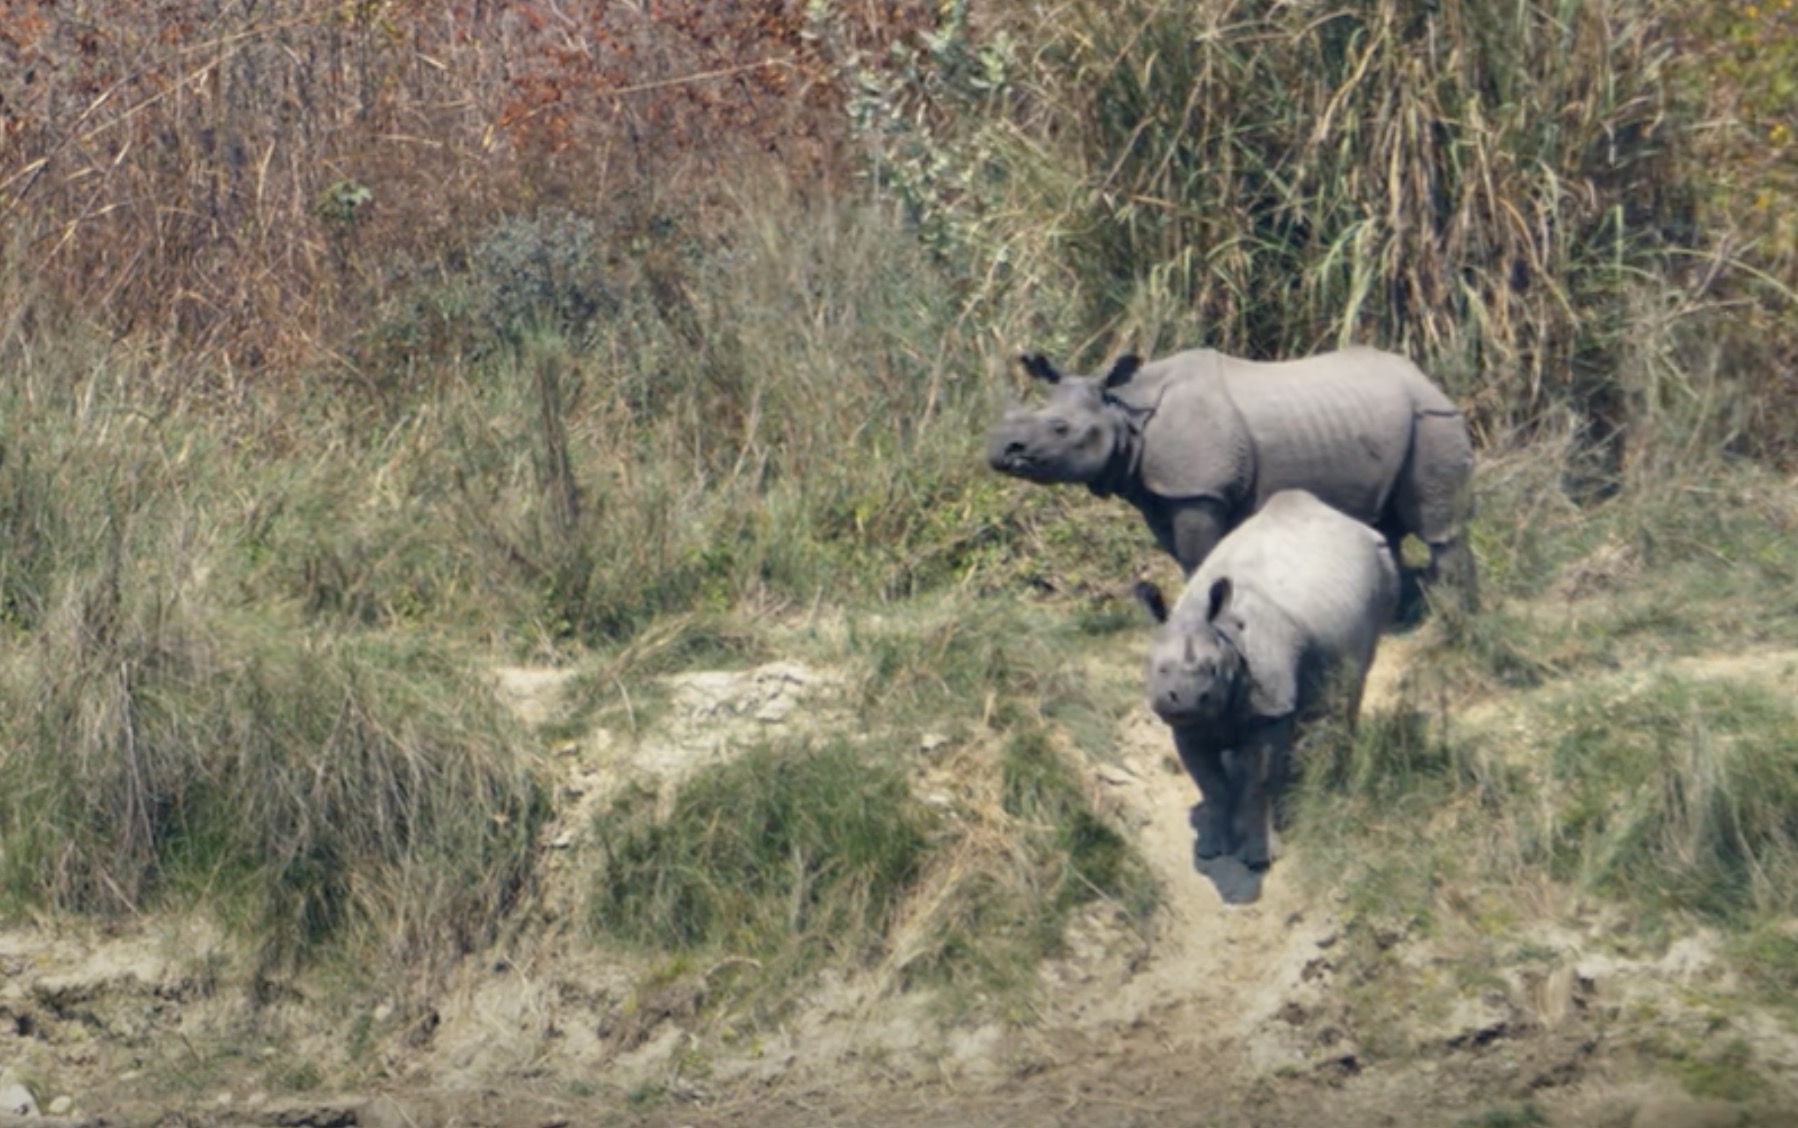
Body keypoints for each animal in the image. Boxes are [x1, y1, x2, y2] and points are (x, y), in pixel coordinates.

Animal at [985, 343, 1474, 608]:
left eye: (1060, 429)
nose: (998, 451)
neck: (1125, 410)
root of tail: (1428, 379)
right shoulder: (1162, 491)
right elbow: (1181, 556)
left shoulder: (1198, 491)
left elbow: (1199, 557)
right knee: (1382, 522)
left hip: (1432, 419)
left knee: (1437, 523)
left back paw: (1450, 618)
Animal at [1129, 489, 1395, 870]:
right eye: (1156, 668)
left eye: (1212, 669)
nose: (1186, 699)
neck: (1223, 634)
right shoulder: (1187, 725)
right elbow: (1211, 785)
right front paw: (1210, 849)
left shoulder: (1270, 706)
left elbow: (1260, 781)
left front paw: (1258, 859)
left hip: (1383, 568)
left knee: (1357, 680)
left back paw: (1337, 773)